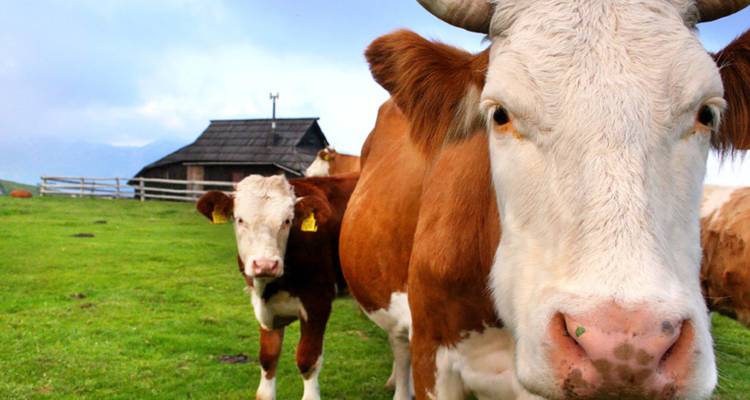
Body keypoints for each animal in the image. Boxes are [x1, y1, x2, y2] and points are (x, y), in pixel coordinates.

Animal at [196, 173, 357, 400]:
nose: (265, 264)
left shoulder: (318, 303)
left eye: (287, 221)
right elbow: (267, 358)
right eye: (240, 219)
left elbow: (307, 360)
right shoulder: (265, 310)